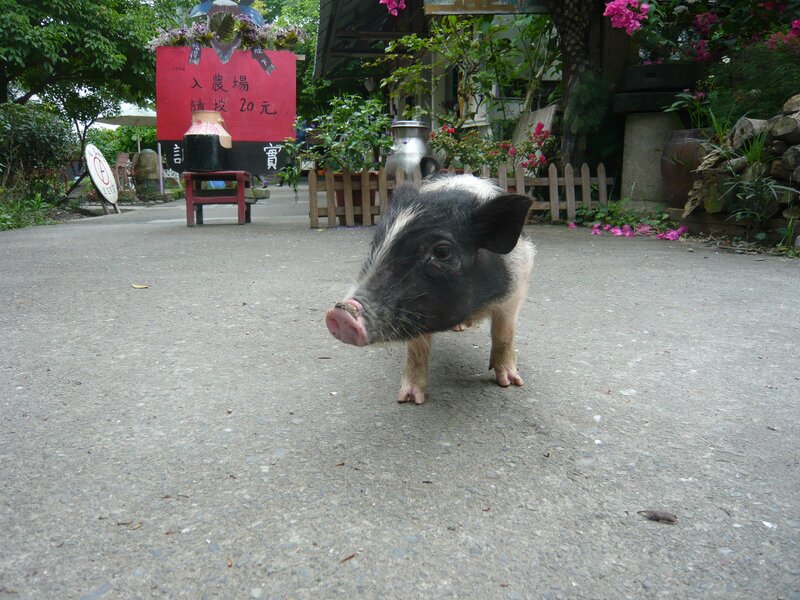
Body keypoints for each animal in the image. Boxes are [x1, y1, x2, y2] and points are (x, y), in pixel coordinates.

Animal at [325, 170, 535, 404]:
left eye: (442, 252)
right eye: (376, 244)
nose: (340, 313)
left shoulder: (516, 287)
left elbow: (504, 334)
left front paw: (511, 383)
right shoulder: (419, 310)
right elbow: (417, 350)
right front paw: (408, 400)